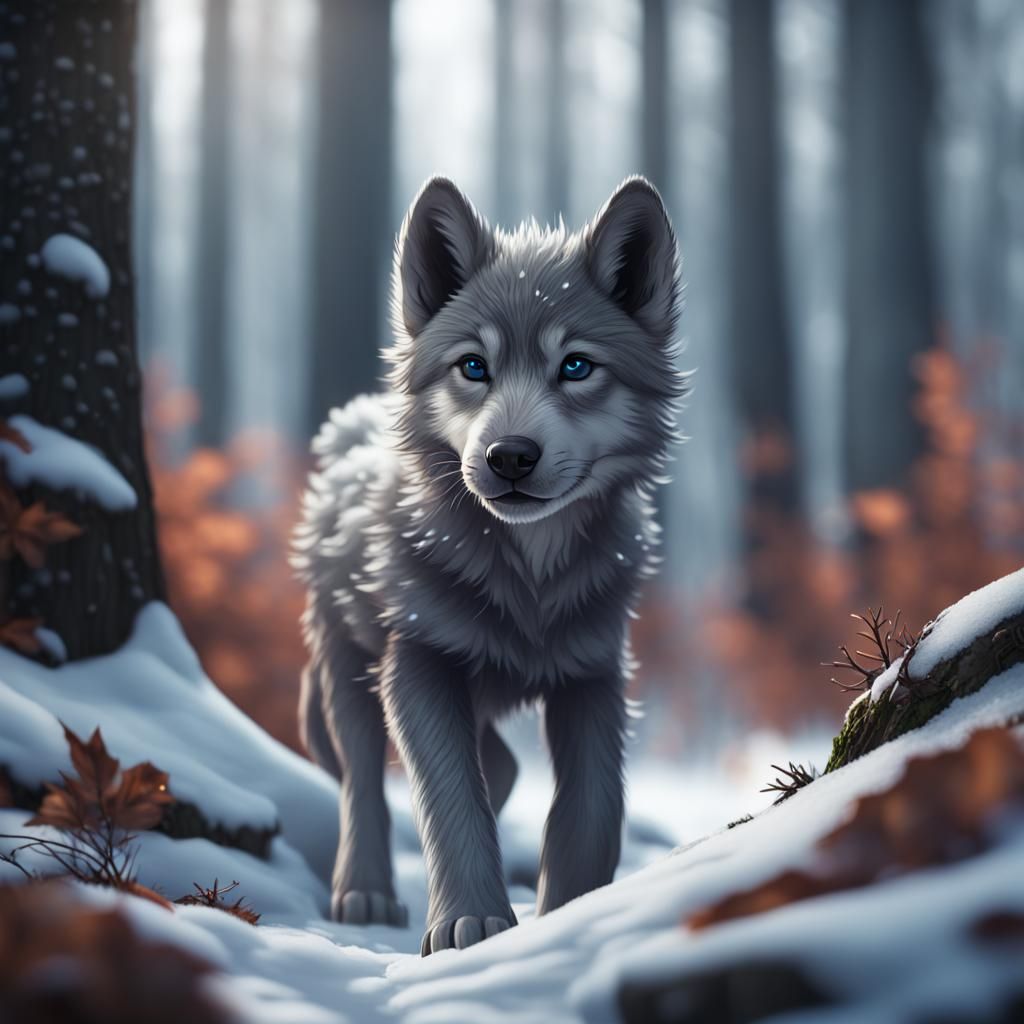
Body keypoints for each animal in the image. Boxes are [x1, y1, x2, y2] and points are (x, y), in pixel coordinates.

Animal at [292, 175, 686, 955]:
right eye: (474, 367)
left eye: (575, 367)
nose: (510, 456)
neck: (528, 580)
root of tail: (349, 427)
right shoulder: (418, 665)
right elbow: (449, 796)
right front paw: (468, 924)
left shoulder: (594, 674)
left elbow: (593, 806)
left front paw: (569, 912)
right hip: (350, 670)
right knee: (361, 781)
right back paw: (365, 892)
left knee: (498, 765)